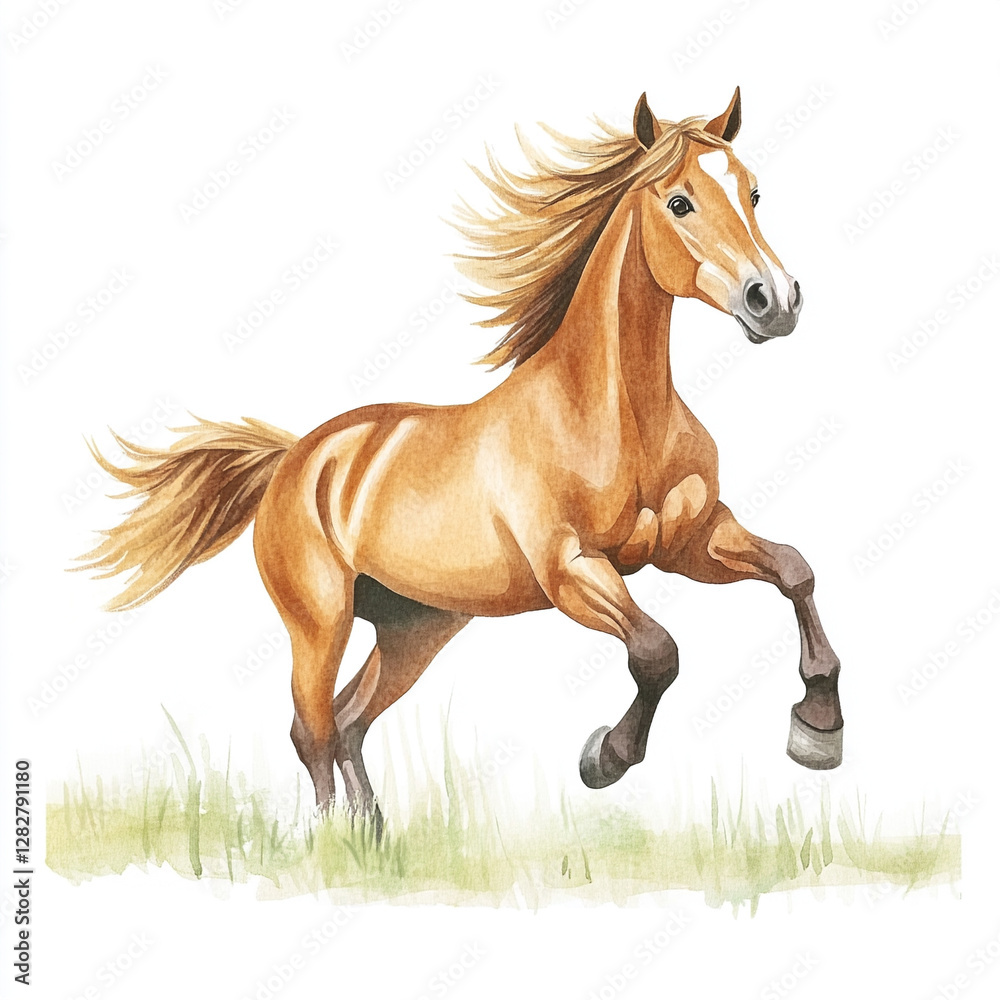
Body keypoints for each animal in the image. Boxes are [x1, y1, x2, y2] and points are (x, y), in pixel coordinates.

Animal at [79, 88, 843, 826]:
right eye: (680, 202)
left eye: (753, 192)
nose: (775, 300)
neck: (615, 419)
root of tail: (297, 457)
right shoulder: (571, 569)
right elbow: (658, 653)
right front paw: (605, 757)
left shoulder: (693, 540)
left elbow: (795, 570)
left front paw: (817, 729)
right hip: (319, 622)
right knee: (312, 728)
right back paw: (326, 841)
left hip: (416, 629)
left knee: (350, 721)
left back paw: (372, 836)